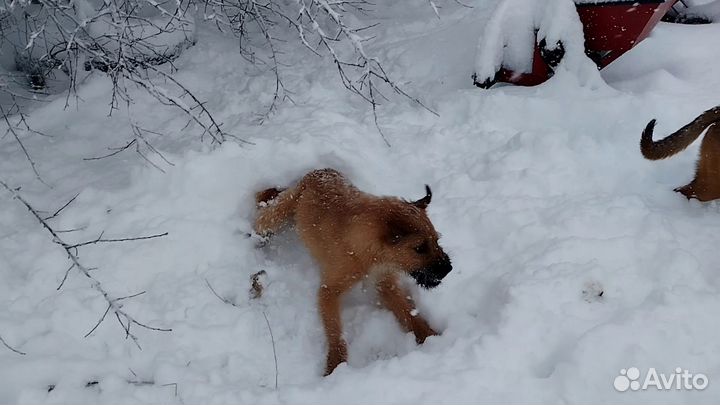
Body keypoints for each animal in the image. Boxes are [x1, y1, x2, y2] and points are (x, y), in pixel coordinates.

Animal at [256, 168, 452, 376]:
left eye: (436, 240)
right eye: (420, 248)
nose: (449, 269)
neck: (370, 251)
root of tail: (318, 171)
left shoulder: (386, 284)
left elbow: (408, 313)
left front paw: (430, 336)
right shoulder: (329, 291)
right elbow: (335, 329)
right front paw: (336, 362)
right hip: (279, 212)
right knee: (262, 218)